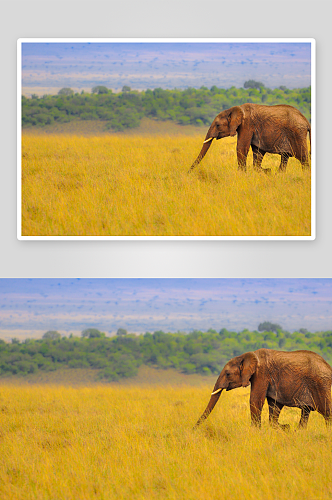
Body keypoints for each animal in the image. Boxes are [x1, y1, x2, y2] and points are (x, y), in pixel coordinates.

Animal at [195, 348, 332, 430]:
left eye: (228, 374)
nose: (193, 429)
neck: (248, 355)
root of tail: (328, 367)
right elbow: (274, 404)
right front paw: (283, 427)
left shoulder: (261, 374)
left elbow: (255, 400)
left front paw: (255, 431)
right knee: (306, 411)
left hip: (321, 384)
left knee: (327, 411)